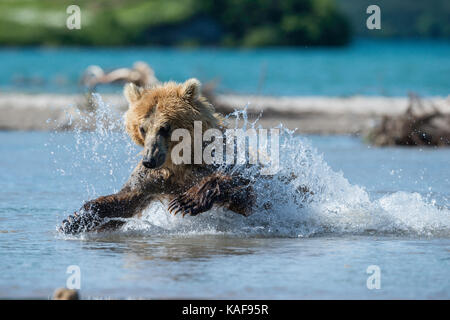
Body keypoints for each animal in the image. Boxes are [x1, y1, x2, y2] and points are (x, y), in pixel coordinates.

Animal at [59, 79, 255, 235]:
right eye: (142, 128)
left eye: (165, 127)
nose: (149, 160)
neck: (179, 162)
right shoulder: (154, 178)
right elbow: (124, 199)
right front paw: (74, 219)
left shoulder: (214, 162)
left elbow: (245, 190)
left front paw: (186, 201)